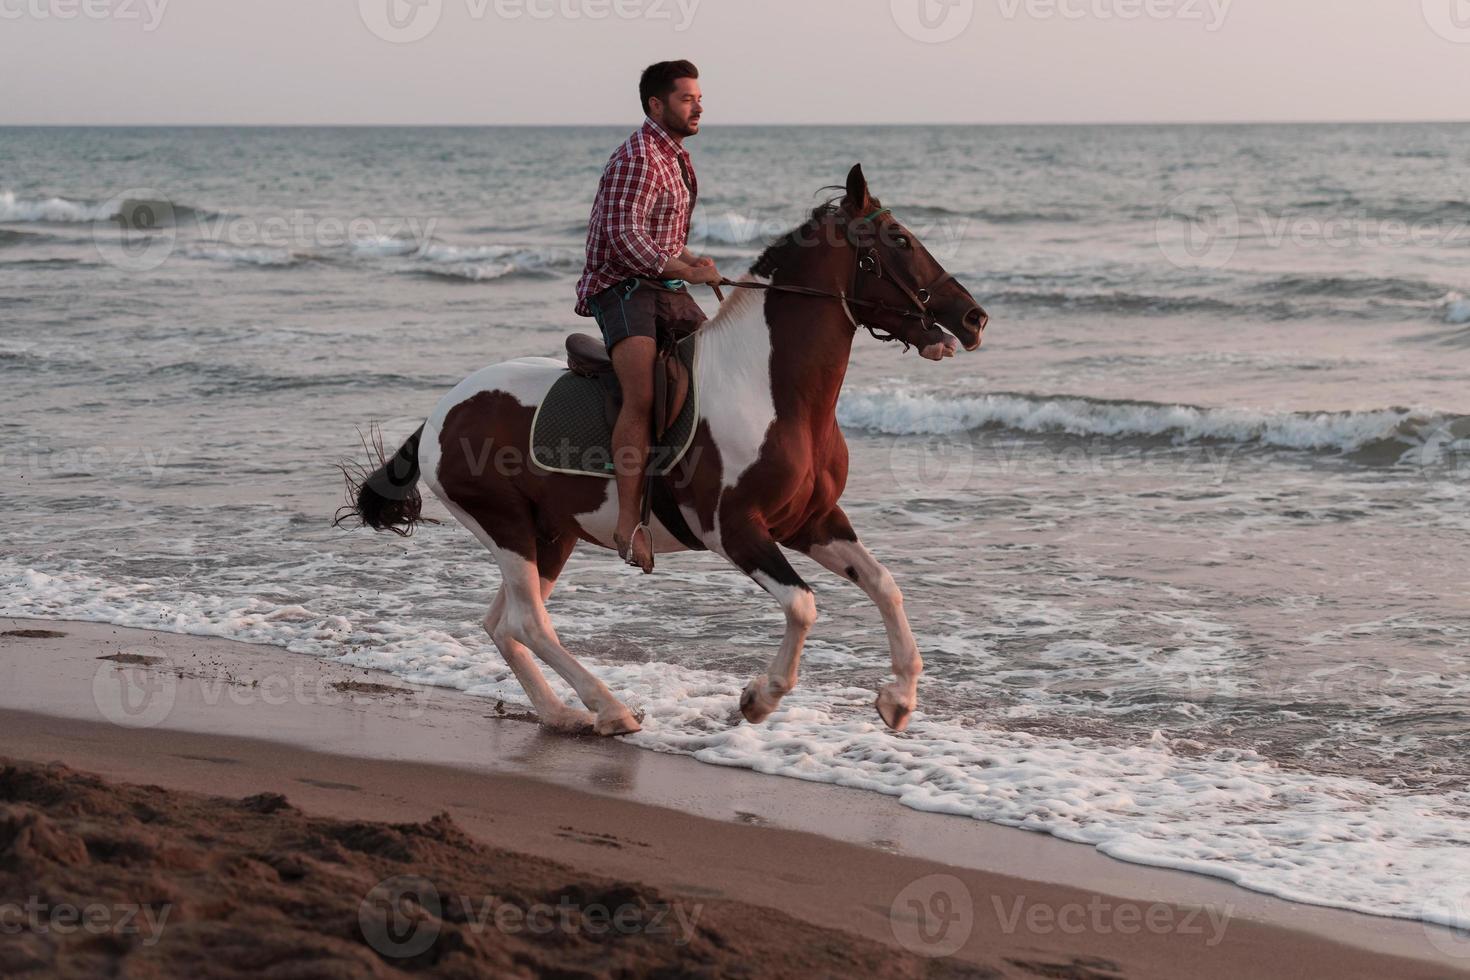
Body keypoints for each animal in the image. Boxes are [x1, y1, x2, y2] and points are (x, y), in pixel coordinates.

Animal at [341, 166, 987, 734]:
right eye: (900, 239)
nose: (974, 317)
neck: (774, 391)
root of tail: (438, 415)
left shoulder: (812, 522)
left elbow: (884, 584)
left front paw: (899, 700)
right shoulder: (735, 531)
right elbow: (803, 605)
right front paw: (759, 698)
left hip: (552, 534)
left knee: (504, 625)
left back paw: (566, 714)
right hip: (506, 527)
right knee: (530, 623)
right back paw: (612, 709)